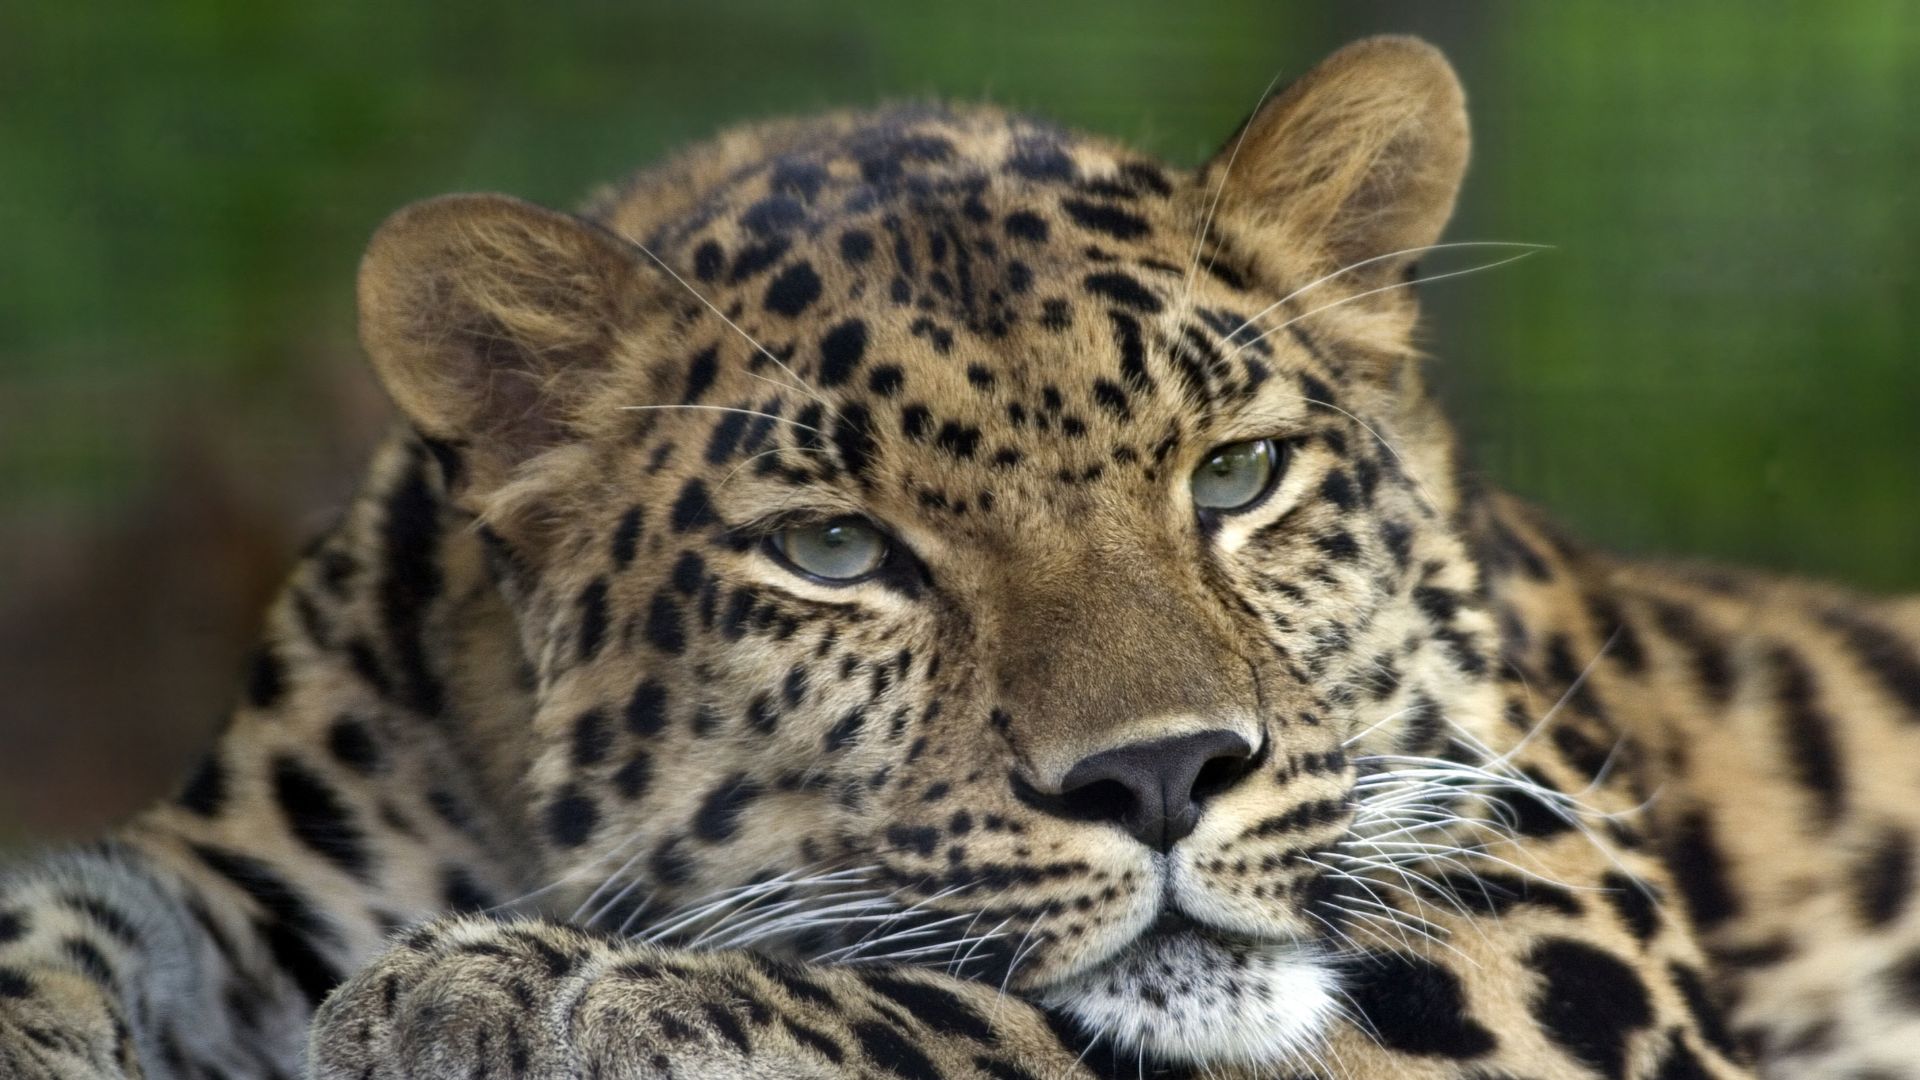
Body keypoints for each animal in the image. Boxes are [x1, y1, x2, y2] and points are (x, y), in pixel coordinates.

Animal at [2, 33, 1917, 1080]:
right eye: (839, 550)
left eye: (1236, 474)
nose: (1165, 777)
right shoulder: (249, 867)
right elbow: (65, 912)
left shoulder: (1558, 919)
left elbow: (1013, 1020)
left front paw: (538, 993)